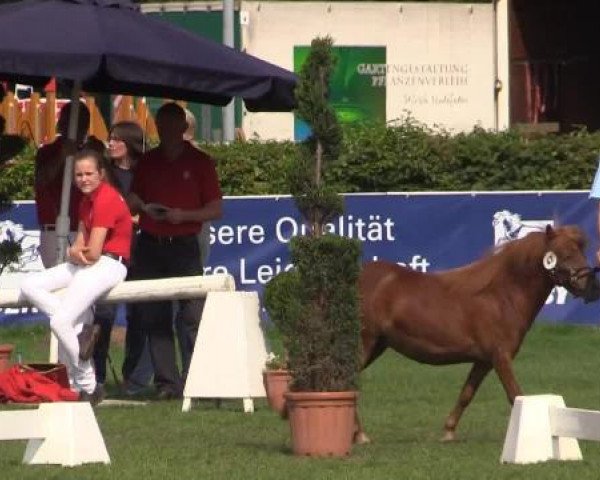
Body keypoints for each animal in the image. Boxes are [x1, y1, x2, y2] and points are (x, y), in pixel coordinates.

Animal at [356, 225, 600, 442]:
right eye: (566, 254)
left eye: (581, 252)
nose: (591, 287)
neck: (501, 296)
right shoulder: (501, 357)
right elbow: (515, 394)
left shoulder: (484, 360)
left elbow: (466, 394)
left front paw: (448, 432)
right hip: (365, 344)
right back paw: (360, 435)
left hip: (377, 346)